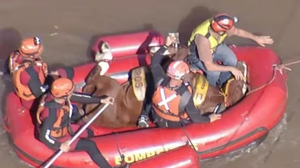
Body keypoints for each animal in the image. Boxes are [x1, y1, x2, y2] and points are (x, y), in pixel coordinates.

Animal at [80, 44, 246, 127]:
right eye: (241, 85)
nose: (242, 65)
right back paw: (105, 52)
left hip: (109, 87)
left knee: (94, 76)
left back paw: (105, 54)